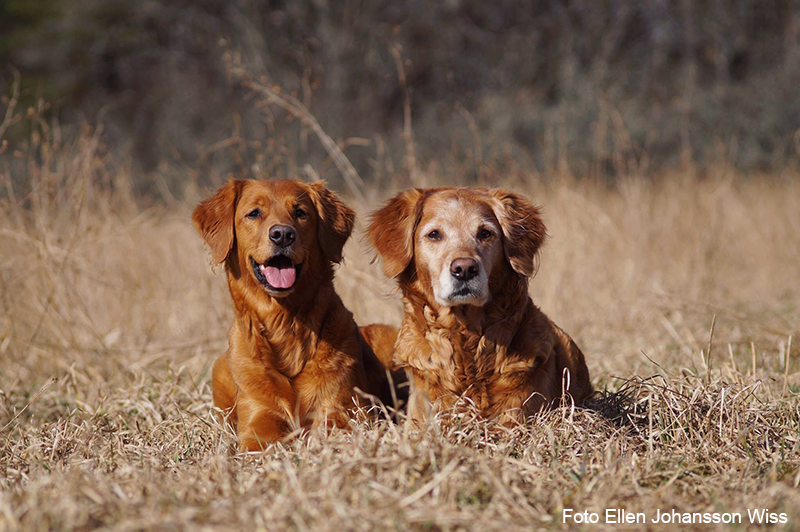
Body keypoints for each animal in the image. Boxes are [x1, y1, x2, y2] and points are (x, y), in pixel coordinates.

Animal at [191, 179, 404, 448]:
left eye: (301, 213)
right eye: (254, 213)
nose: (282, 234)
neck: (285, 324)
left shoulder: (345, 412)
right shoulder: (258, 417)